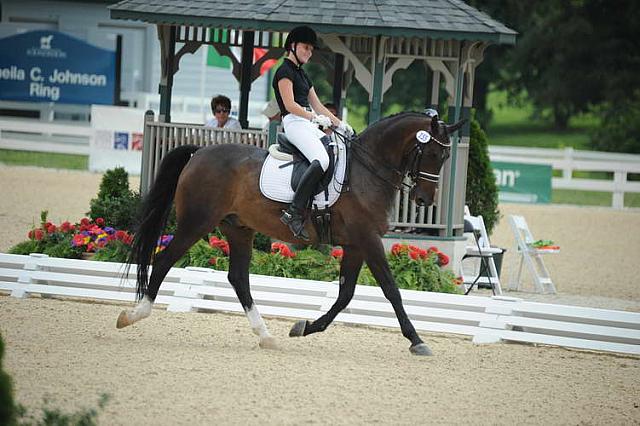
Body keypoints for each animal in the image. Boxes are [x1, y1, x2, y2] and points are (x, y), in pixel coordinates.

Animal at [117, 111, 462, 354]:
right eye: (431, 154)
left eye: (445, 158)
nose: (424, 199)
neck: (366, 171)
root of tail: (200, 152)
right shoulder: (368, 239)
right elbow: (391, 289)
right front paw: (417, 340)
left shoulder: (355, 244)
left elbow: (345, 294)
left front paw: (304, 326)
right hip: (196, 222)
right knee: (164, 260)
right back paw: (133, 315)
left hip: (238, 229)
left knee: (238, 278)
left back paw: (266, 336)